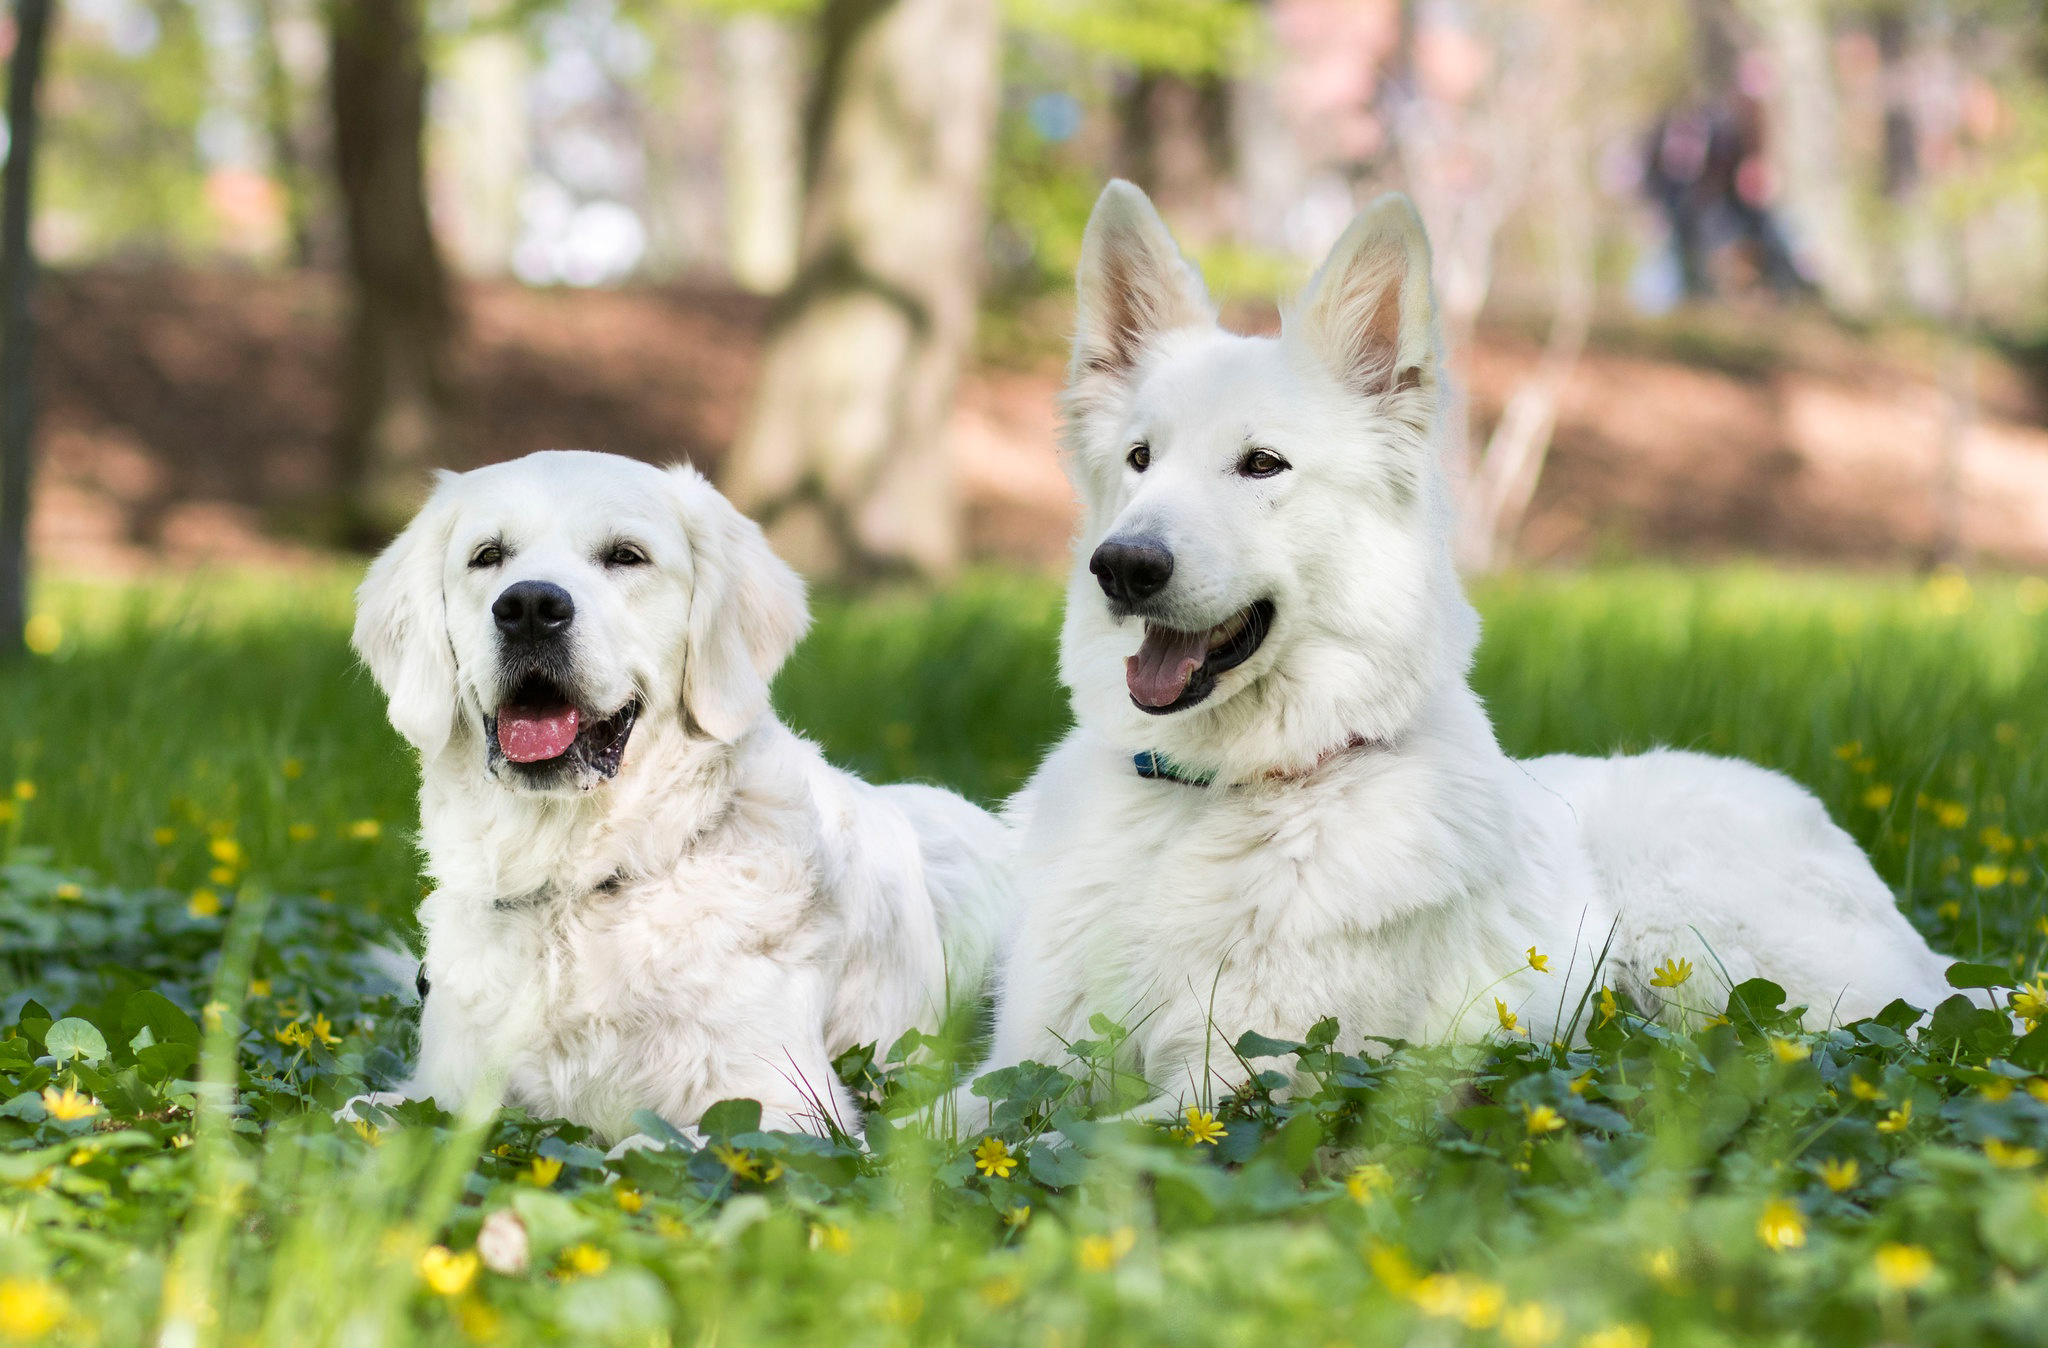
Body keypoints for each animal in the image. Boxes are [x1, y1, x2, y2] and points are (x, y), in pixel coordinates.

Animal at [362, 448, 1024, 1130]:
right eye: (488, 556)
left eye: (626, 556)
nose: (527, 608)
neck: (581, 881)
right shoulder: (440, 1091)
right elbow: (360, 1110)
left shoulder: (794, 1107)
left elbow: (644, 1141)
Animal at [962, 181, 1966, 1122]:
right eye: (1139, 460)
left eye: (1261, 465)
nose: (1123, 566)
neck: (1215, 797)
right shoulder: (1033, 1056)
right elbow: (956, 1122)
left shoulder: (1249, 1077)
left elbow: (1075, 1143)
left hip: (1712, 949)